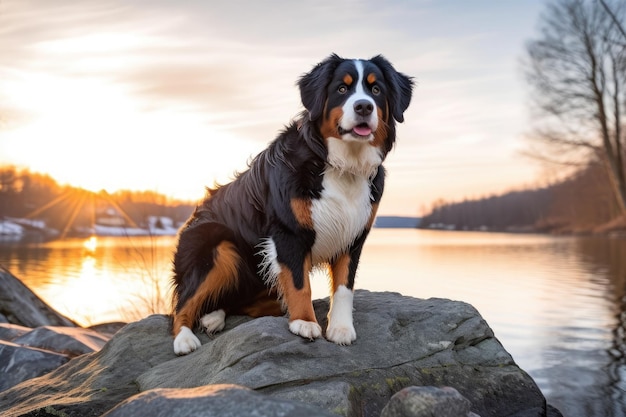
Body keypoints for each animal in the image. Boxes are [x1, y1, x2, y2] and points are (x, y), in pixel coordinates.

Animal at [172, 53, 414, 354]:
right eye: (342, 88)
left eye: (376, 90)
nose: (363, 106)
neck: (341, 165)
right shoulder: (288, 232)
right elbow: (300, 283)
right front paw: (304, 323)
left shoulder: (354, 235)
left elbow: (344, 287)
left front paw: (341, 328)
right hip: (217, 246)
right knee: (183, 303)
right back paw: (185, 338)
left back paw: (213, 316)